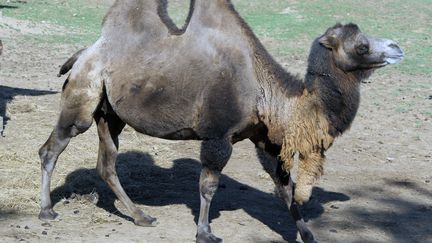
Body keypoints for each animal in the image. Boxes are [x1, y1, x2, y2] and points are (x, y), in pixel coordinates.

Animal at [38, 0, 404, 242]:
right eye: (361, 45)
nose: (398, 47)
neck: (268, 93)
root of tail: (85, 52)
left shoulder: (265, 139)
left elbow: (284, 186)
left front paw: (307, 234)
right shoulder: (218, 135)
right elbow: (209, 185)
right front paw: (205, 232)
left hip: (111, 114)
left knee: (107, 163)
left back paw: (142, 216)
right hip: (83, 95)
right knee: (53, 147)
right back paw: (46, 211)